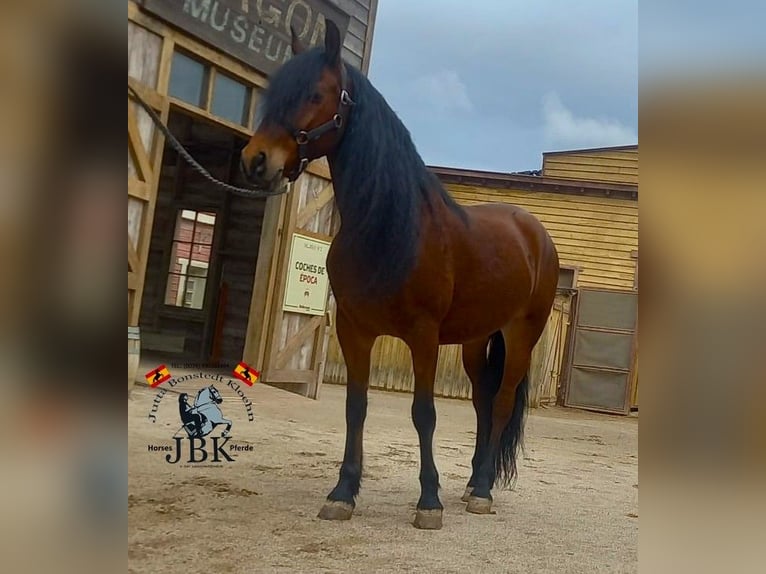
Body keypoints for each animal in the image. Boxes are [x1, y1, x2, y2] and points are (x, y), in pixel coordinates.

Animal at [243, 20, 560, 532]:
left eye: (314, 93)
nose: (256, 160)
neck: (388, 228)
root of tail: (535, 234)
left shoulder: (423, 335)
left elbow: (423, 412)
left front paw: (429, 501)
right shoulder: (354, 330)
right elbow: (355, 407)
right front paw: (343, 493)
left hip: (520, 335)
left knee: (503, 401)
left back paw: (483, 491)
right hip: (476, 340)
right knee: (483, 402)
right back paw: (473, 481)